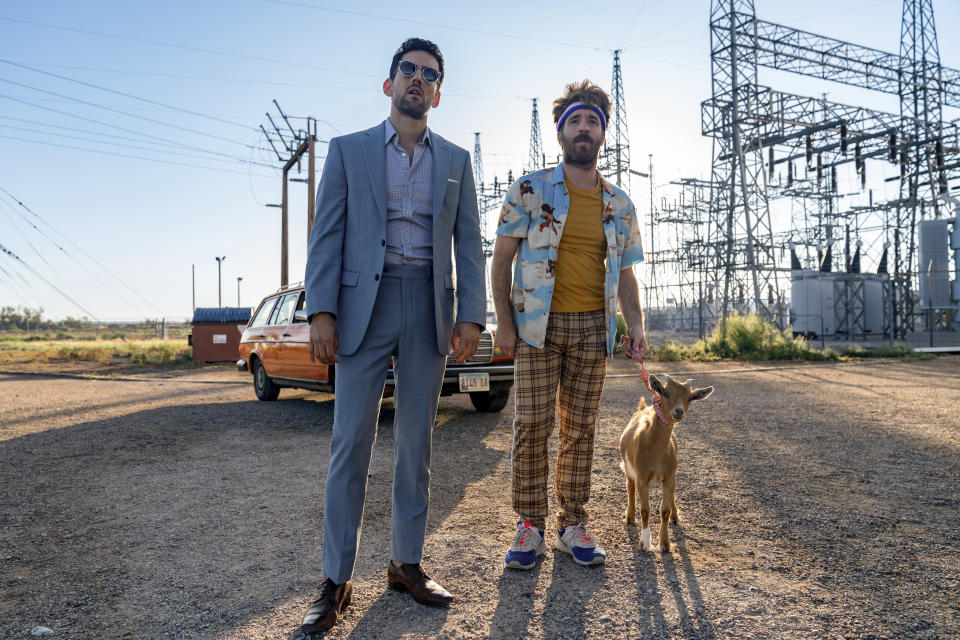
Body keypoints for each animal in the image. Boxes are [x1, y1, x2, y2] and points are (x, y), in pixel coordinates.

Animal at [624, 378, 712, 552]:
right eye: (666, 392)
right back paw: (630, 517)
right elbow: (645, 510)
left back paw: (675, 517)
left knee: (672, 495)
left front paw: (664, 543)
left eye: (690, 398)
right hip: (628, 468)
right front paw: (644, 542)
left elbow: (664, 510)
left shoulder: (669, 475)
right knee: (630, 487)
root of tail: (643, 408)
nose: (679, 411)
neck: (656, 452)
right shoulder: (642, 477)